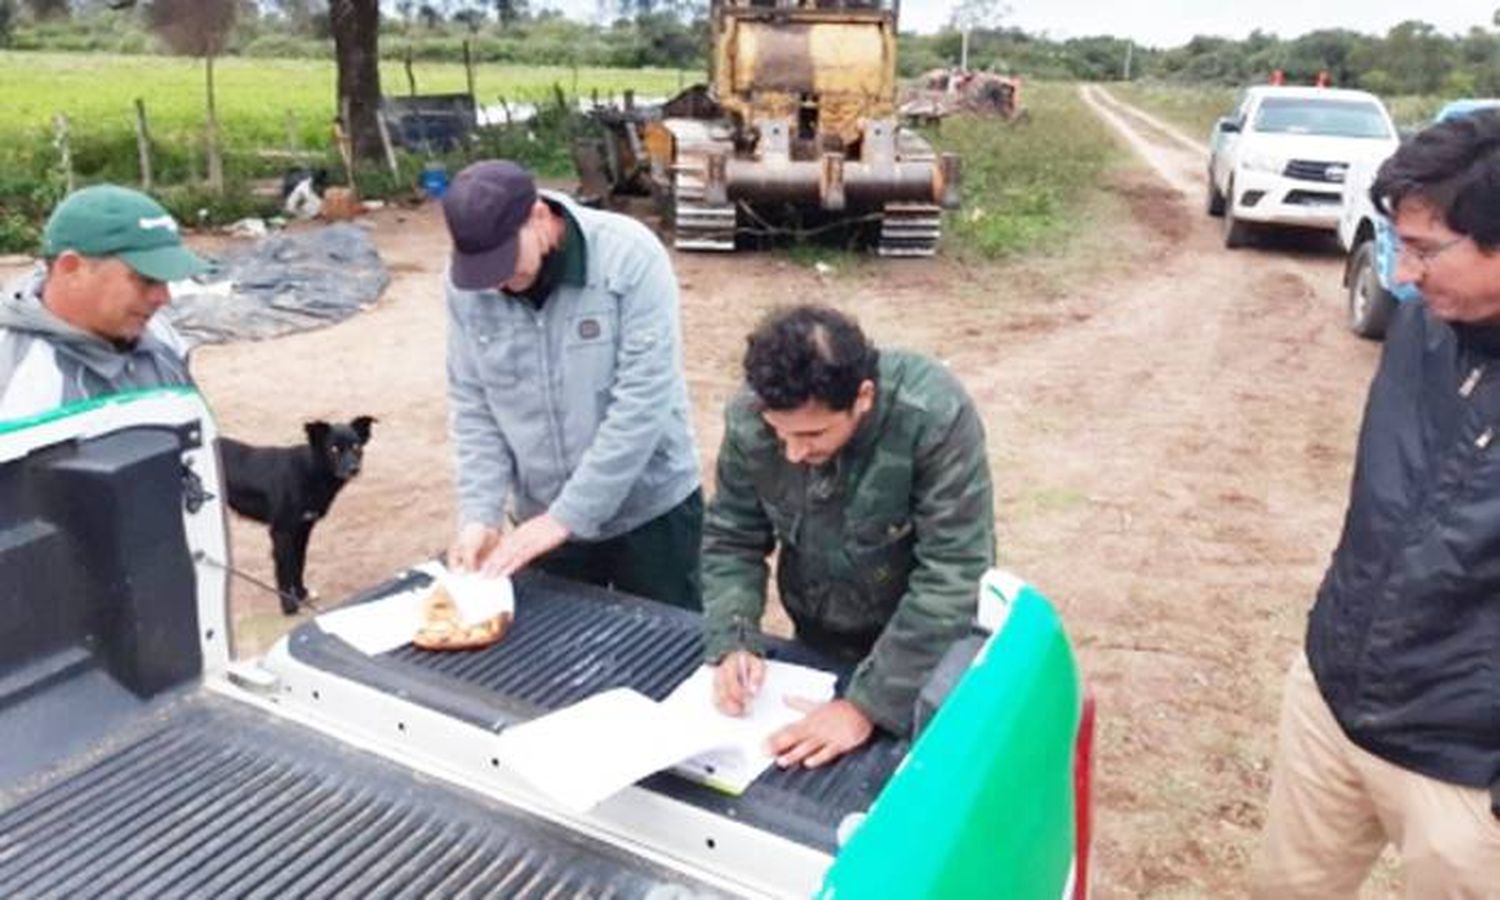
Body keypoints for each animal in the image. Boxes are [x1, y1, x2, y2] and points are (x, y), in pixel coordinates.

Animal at [219, 417, 378, 615]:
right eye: (333, 449)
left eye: (356, 446)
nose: (354, 469)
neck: (309, 471)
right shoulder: (281, 532)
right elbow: (284, 572)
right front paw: (289, 606)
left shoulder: (302, 529)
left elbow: (299, 564)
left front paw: (302, 594)